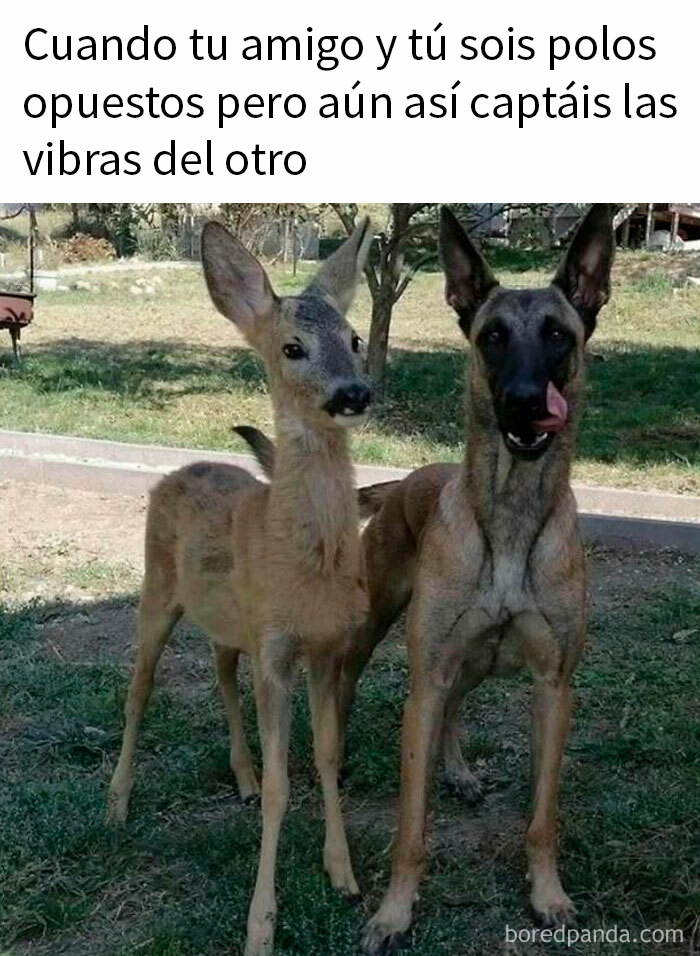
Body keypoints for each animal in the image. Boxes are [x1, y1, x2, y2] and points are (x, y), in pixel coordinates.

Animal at [106, 218, 372, 956]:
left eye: (356, 338)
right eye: (292, 347)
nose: (355, 393)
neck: (309, 569)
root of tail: (177, 471)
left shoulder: (326, 646)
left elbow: (328, 755)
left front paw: (343, 873)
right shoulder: (276, 646)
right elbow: (287, 783)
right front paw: (260, 924)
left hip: (229, 623)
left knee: (221, 671)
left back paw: (241, 776)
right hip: (155, 590)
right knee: (138, 689)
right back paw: (117, 802)